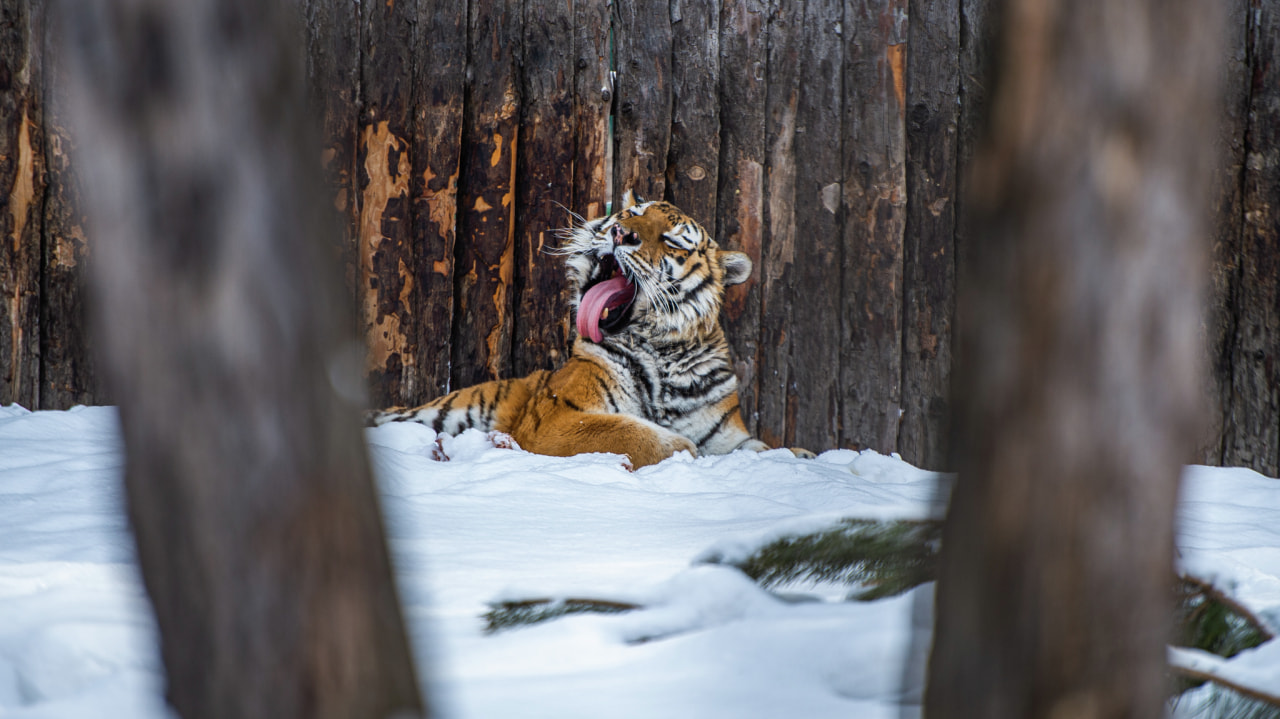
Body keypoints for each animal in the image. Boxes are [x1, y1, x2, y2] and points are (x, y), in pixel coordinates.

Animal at [371, 193, 803, 468]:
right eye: (630, 214)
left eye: (672, 239)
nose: (620, 234)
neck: (664, 353)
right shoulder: (561, 417)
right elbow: (636, 434)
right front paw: (682, 452)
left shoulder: (728, 436)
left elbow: (765, 449)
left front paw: (803, 457)